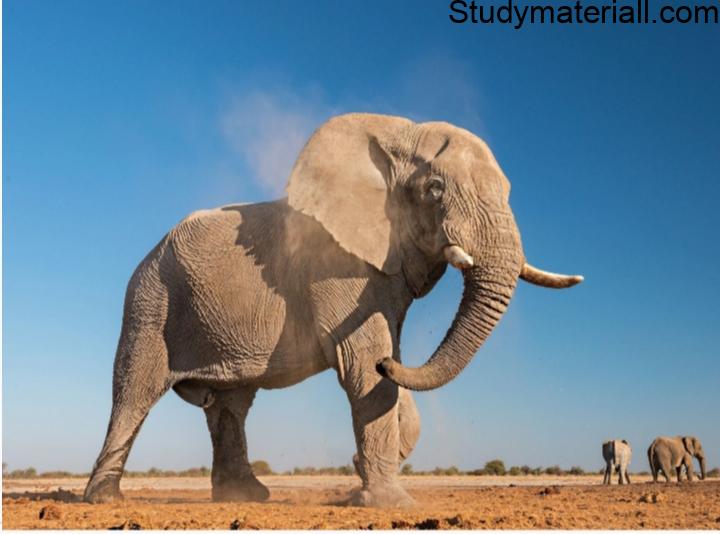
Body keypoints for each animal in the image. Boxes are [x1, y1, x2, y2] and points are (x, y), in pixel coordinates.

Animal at [83, 113, 583, 507]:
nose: (353, 462)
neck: (397, 134)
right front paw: (389, 503)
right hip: (150, 300)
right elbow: (362, 362)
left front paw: (364, 472)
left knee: (231, 404)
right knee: (135, 391)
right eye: (434, 189)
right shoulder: (335, 265)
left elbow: (387, 364)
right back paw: (104, 498)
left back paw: (246, 496)